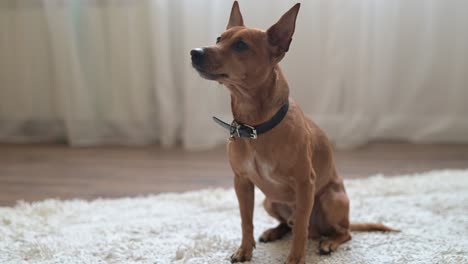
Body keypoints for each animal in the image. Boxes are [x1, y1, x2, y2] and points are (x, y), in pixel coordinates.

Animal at [189, 2, 394, 264]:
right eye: (219, 38)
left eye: (241, 45)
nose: (194, 52)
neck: (256, 126)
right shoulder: (242, 182)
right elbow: (246, 221)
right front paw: (245, 250)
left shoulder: (305, 183)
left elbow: (300, 231)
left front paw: (295, 258)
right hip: (269, 201)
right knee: (289, 224)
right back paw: (274, 231)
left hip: (330, 200)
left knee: (341, 231)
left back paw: (329, 242)